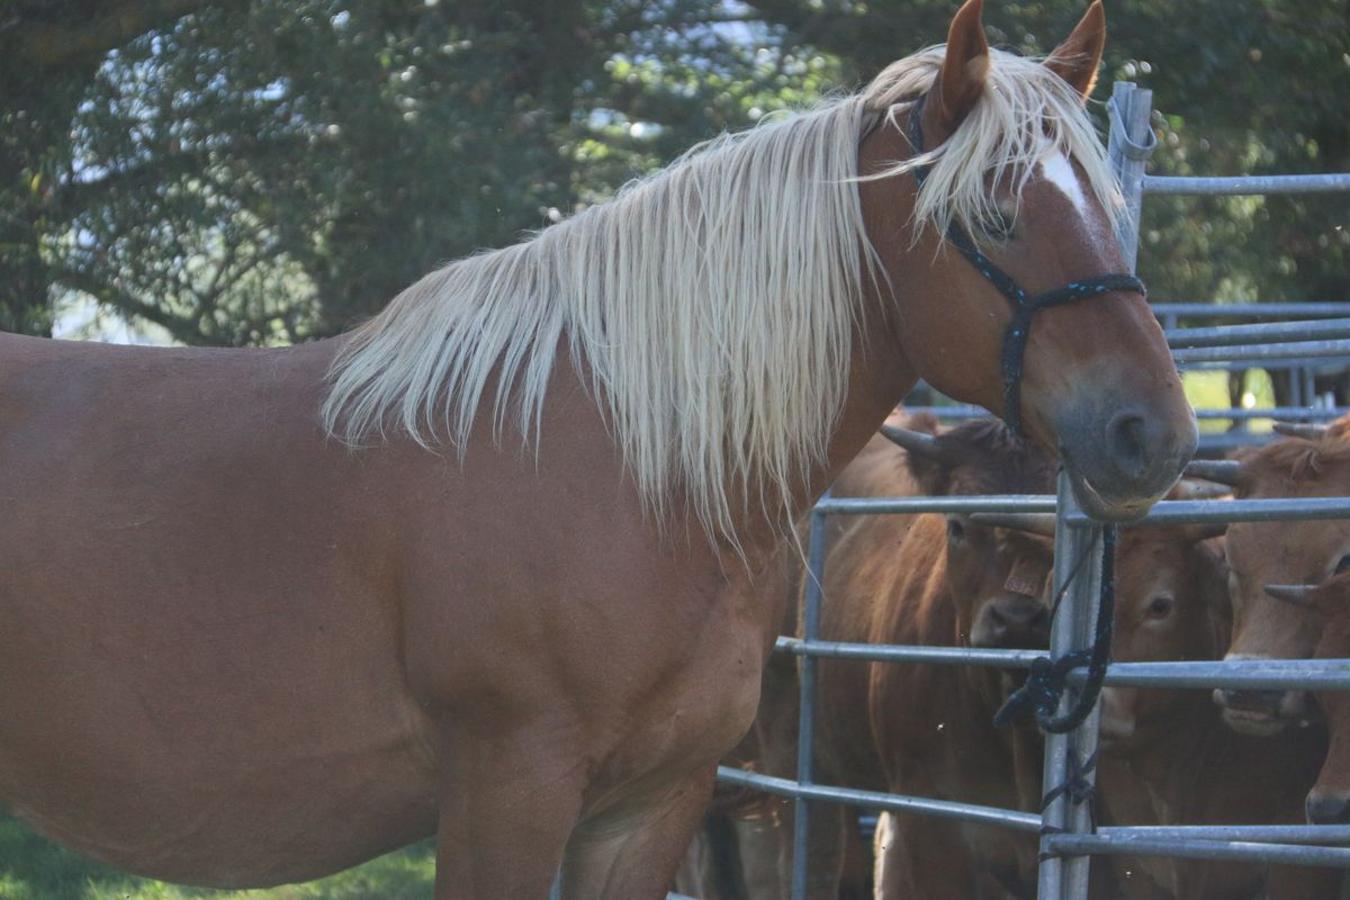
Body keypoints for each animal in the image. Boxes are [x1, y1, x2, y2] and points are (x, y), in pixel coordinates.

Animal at [0, 1, 1198, 895]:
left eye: (1108, 204)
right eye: (993, 215)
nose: (1153, 433)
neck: (626, 472)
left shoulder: (652, 806)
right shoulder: (508, 790)